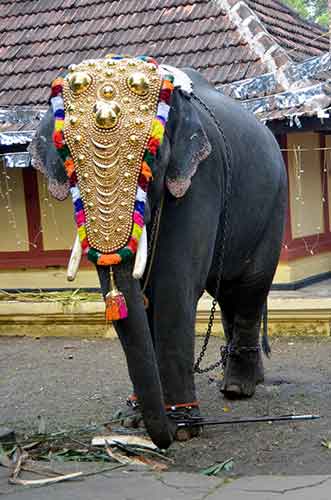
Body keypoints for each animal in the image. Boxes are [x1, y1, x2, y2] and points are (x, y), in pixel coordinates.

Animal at [28, 54, 288, 450]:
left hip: (274, 206)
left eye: (150, 160)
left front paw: (181, 427)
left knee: (250, 288)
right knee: (229, 294)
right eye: (69, 164)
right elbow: (142, 297)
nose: (161, 433)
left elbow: (172, 287)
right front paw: (135, 418)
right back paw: (242, 381)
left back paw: (237, 389)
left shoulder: (202, 178)